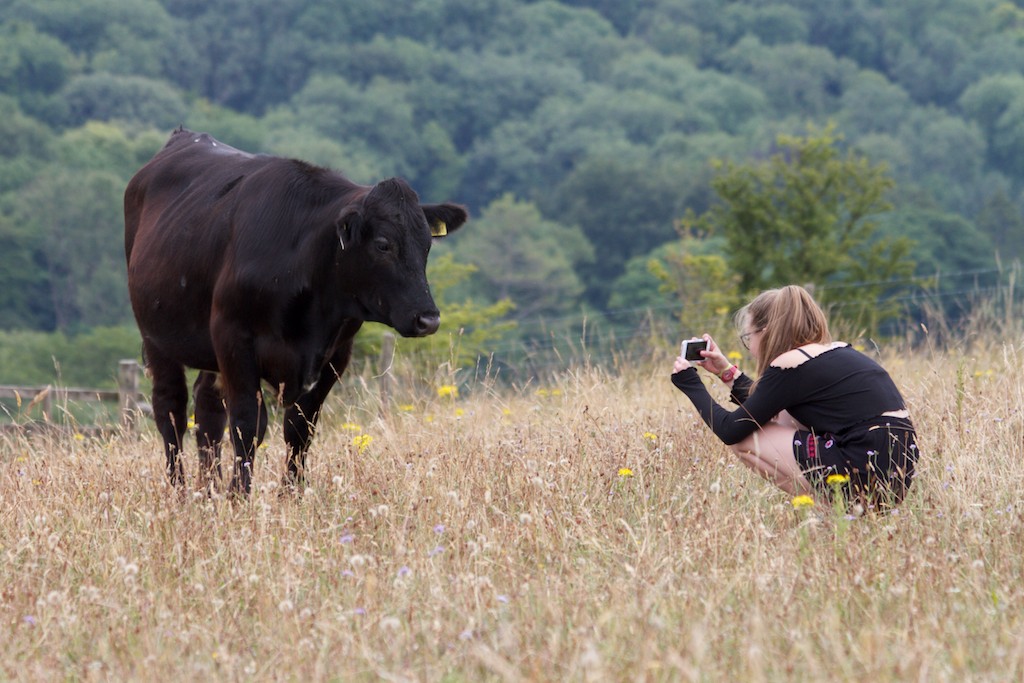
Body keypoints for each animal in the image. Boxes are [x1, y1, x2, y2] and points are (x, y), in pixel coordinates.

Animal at [122, 126, 468, 491]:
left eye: (427, 245)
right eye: (383, 245)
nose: (428, 319)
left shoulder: (335, 354)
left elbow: (299, 429)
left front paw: (292, 494)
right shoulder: (234, 337)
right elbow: (247, 423)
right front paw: (239, 494)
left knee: (206, 408)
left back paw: (209, 488)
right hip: (156, 336)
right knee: (171, 410)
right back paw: (180, 491)